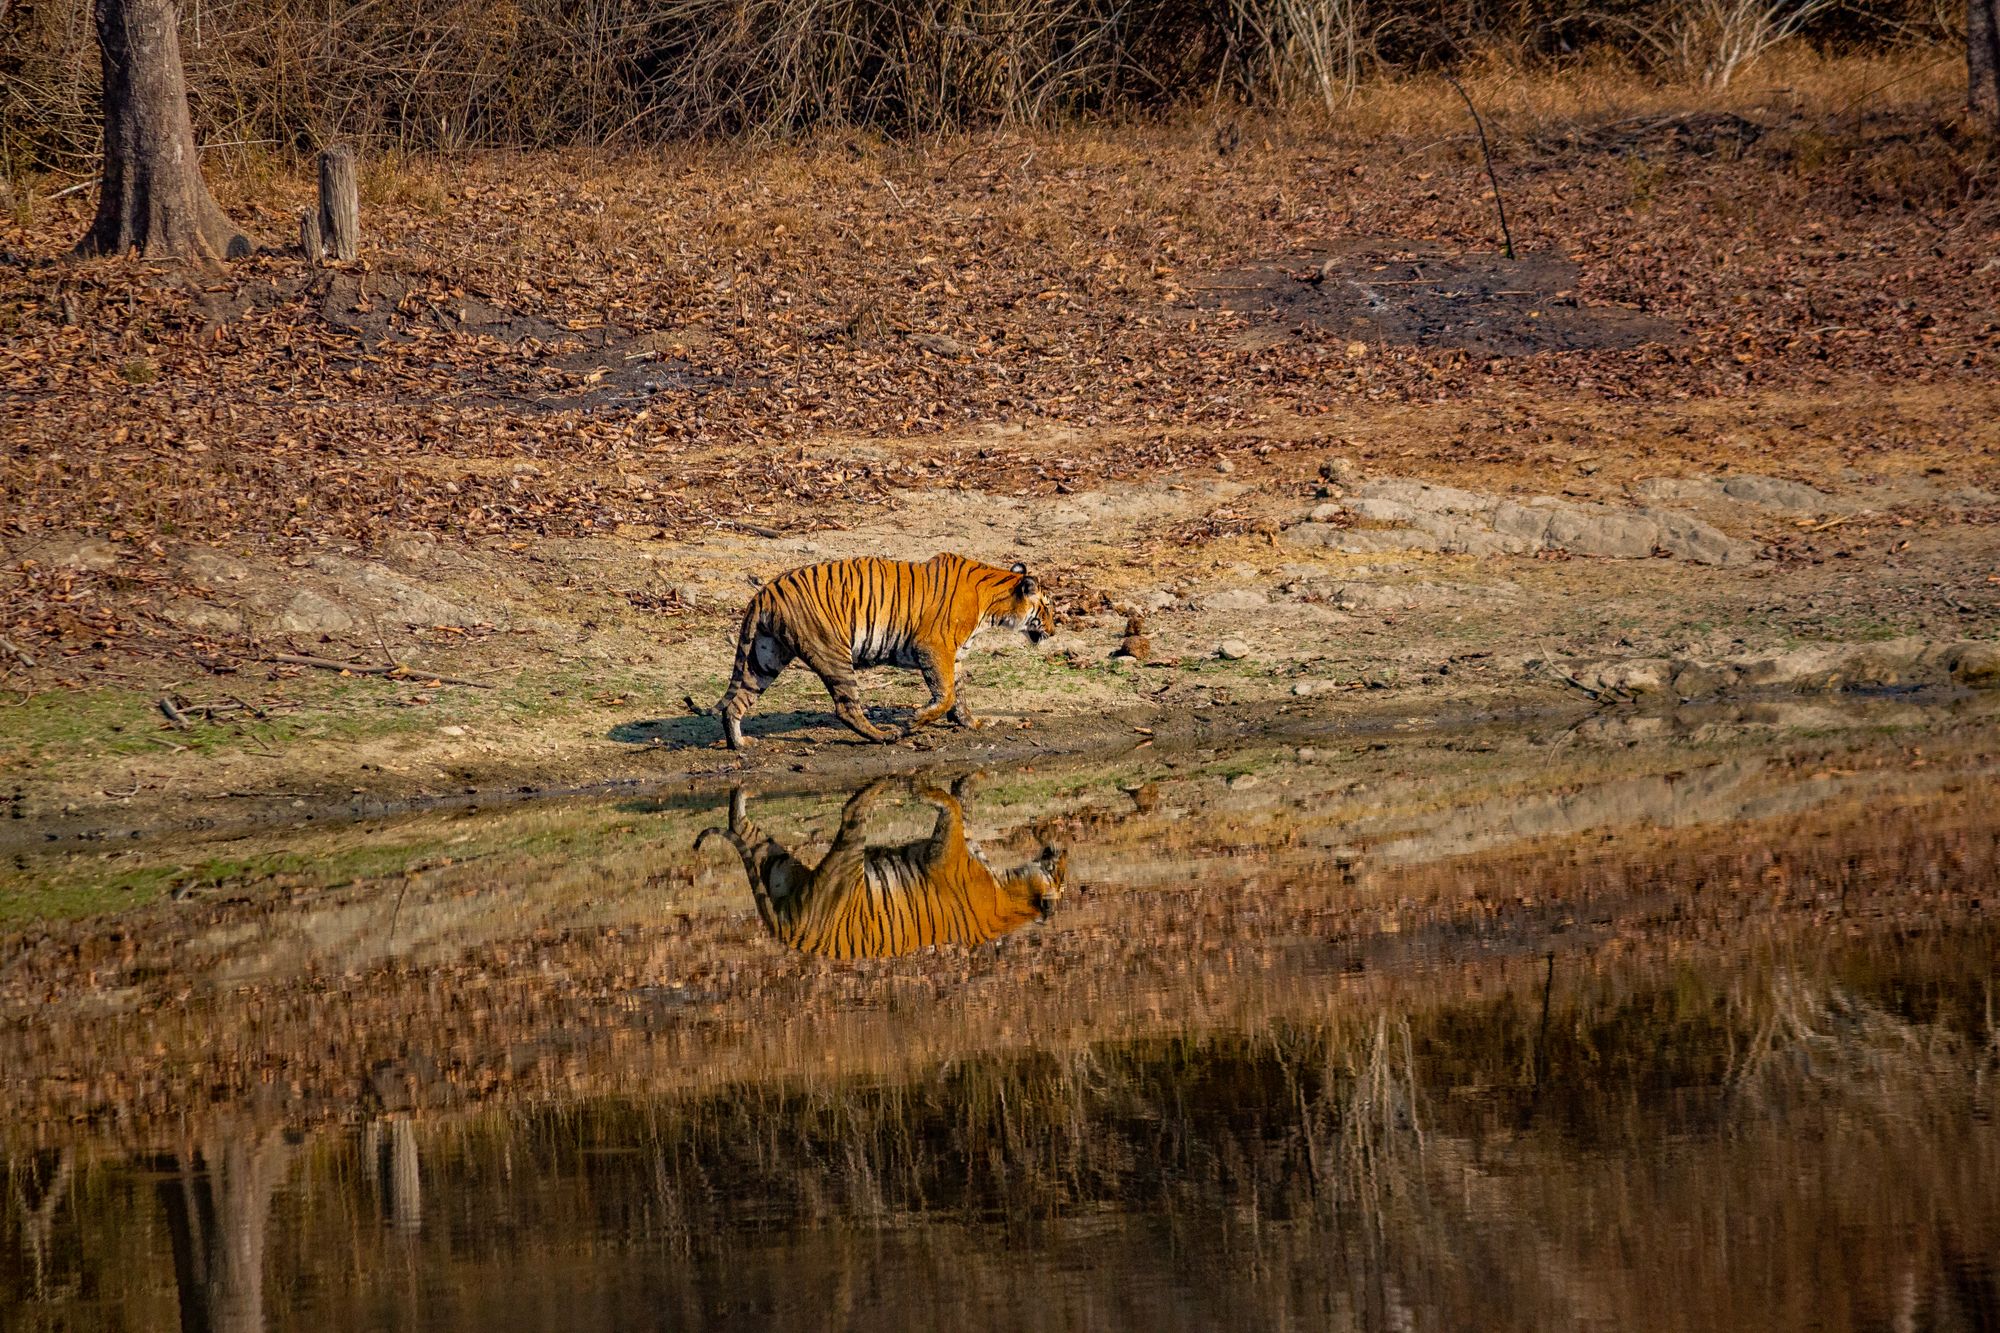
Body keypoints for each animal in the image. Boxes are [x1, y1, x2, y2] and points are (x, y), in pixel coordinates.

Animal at [687, 553, 1054, 750]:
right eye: (1048, 608)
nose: (1053, 630)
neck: (994, 604)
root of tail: (765, 590)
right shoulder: (934, 648)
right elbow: (946, 693)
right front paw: (916, 719)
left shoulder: (956, 655)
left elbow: (959, 695)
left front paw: (972, 723)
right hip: (833, 652)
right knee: (846, 707)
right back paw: (884, 736)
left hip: (765, 657)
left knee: (735, 702)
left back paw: (739, 744)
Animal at [694, 776, 1067, 960]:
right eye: (1059, 874)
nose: (1060, 849)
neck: (1009, 893)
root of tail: (788, 934)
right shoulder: (948, 848)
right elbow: (955, 805)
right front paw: (924, 789)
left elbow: (955, 806)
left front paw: (921, 790)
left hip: (788, 865)